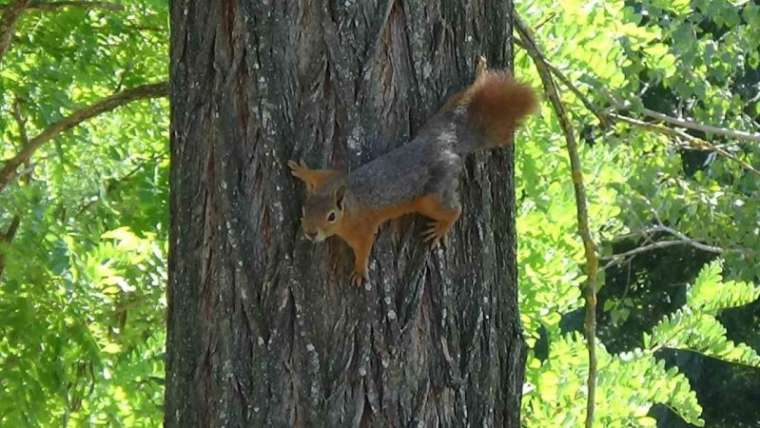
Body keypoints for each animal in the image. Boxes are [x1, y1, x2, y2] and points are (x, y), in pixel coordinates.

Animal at [290, 69, 536, 288]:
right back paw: (478, 73)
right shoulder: (332, 180)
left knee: (454, 210)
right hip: (439, 119)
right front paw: (302, 171)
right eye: (304, 209)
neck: (348, 206)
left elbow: (364, 248)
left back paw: (440, 229)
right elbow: (322, 173)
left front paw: (360, 270)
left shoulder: (362, 228)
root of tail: (448, 144)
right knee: (460, 100)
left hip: (431, 197)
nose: (311, 233)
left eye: (331, 216)